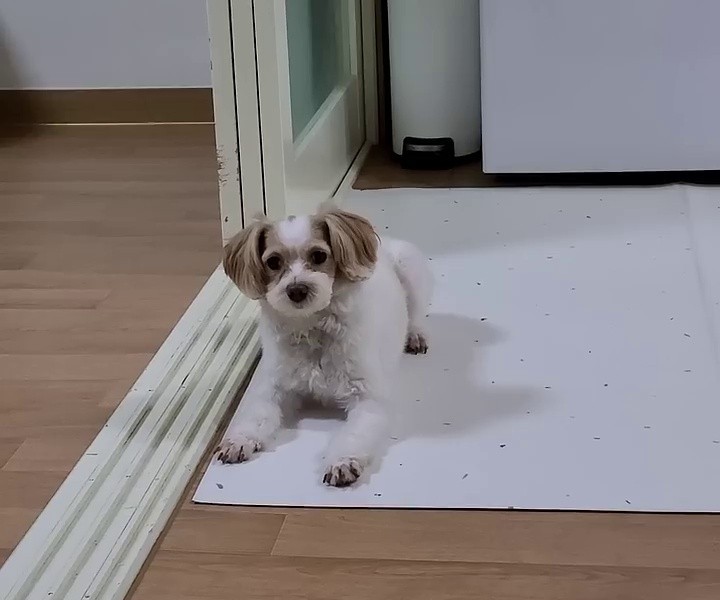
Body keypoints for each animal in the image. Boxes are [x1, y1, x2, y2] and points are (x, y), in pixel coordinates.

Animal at [215, 205, 432, 486]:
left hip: (410, 268)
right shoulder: (272, 388)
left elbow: (354, 435)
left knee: (416, 315)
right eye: (273, 262)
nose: (297, 290)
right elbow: (255, 415)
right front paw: (240, 439)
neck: (311, 331)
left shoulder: (368, 399)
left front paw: (343, 461)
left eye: (319, 255)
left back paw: (415, 334)